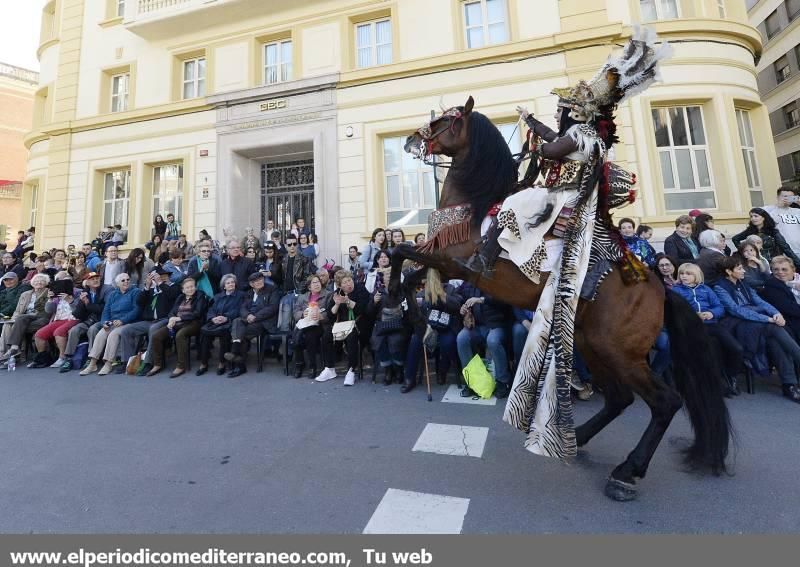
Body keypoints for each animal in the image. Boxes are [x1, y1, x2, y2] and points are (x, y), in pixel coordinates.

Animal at [390, 97, 732, 502]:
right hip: (590, 342)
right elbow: (409, 271)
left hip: (621, 352)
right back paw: (579, 439)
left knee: (665, 402)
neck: (473, 208)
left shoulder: (452, 261)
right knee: (620, 398)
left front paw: (402, 302)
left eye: (447, 119)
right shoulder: (447, 266)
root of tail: (660, 289)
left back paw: (626, 472)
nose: (411, 139)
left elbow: (400, 253)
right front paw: (409, 311)